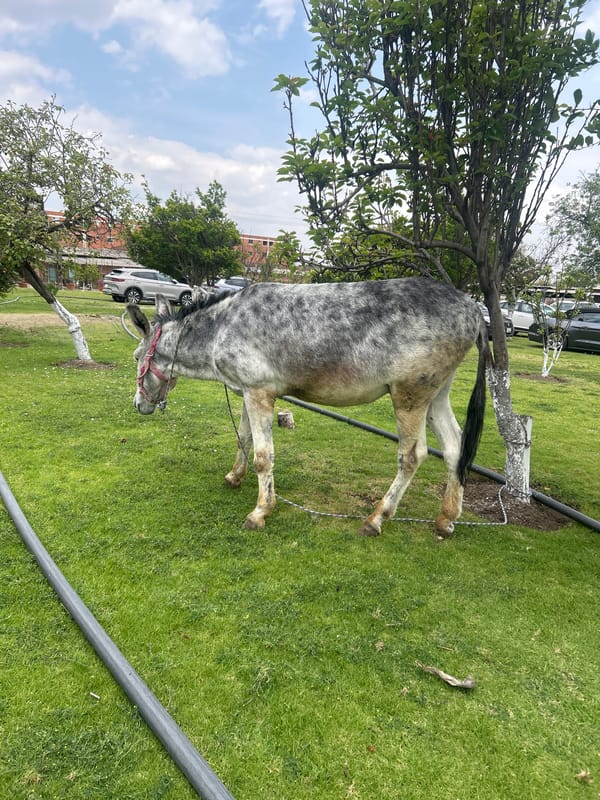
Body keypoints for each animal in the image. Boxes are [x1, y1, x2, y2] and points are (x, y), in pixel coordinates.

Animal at [127, 277, 491, 537]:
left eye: (136, 357)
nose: (139, 404)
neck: (221, 328)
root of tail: (473, 309)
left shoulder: (259, 393)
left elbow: (263, 456)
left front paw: (261, 511)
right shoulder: (247, 392)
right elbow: (243, 438)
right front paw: (234, 476)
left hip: (409, 395)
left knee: (412, 456)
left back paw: (376, 518)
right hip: (436, 394)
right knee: (455, 448)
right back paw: (445, 518)